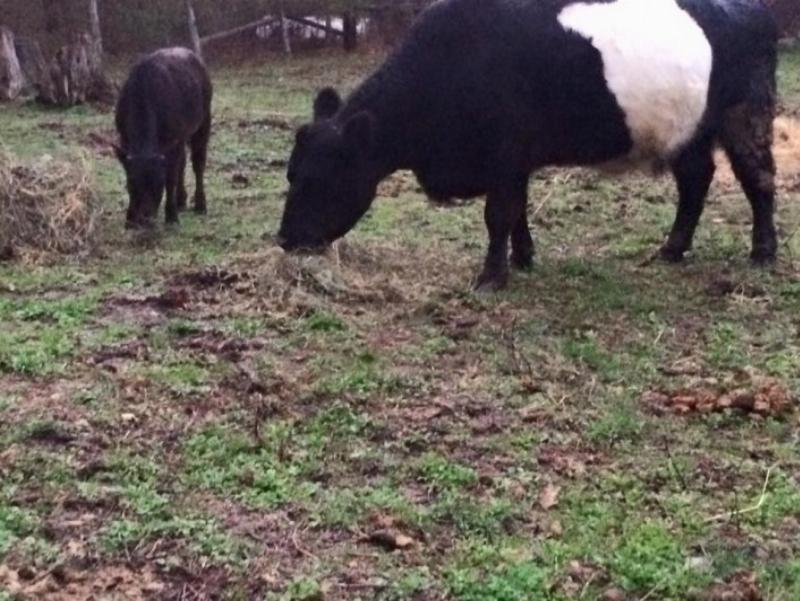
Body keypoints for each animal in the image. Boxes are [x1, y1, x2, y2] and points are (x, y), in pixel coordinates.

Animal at [115, 47, 212, 229]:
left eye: (158, 183)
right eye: (131, 183)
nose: (145, 217)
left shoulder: (174, 142)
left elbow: (171, 178)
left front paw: (171, 216)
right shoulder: (124, 139)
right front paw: (129, 219)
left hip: (203, 122)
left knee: (198, 163)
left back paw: (200, 204)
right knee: (182, 163)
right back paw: (181, 200)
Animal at [277, 0, 779, 291]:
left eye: (321, 178)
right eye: (290, 173)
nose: (285, 239)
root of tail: (751, 10)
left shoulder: (504, 155)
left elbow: (497, 214)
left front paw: (491, 277)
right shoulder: (513, 164)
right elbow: (516, 211)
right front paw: (522, 259)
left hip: (745, 113)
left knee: (758, 179)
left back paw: (763, 253)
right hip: (688, 130)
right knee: (696, 179)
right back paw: (672, 250)